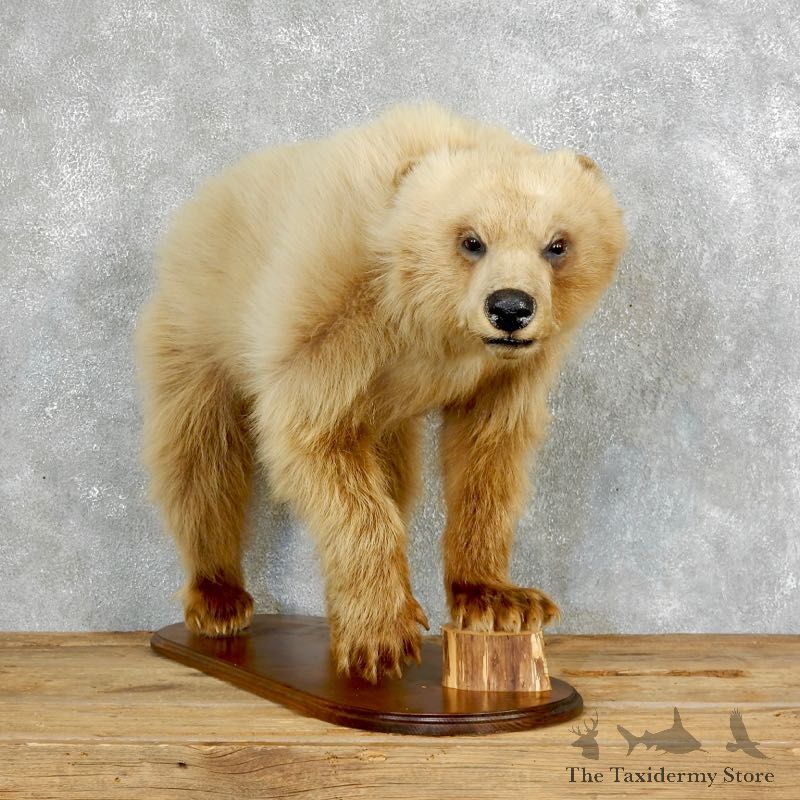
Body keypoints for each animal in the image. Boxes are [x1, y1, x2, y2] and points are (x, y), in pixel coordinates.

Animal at [136, 103, 625, 684]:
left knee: (395, 470)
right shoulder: (333, 314)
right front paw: (381, 634)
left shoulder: (507, 374)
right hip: (197, 329)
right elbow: (315, 442)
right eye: (471, 240)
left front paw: (499, 600)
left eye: (557, 244)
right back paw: (219, 597)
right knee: (200, 460)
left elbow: (487, 456)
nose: (510, 308)